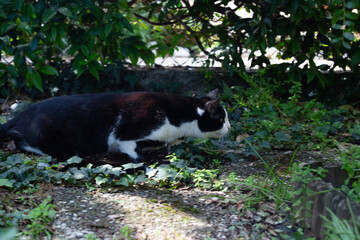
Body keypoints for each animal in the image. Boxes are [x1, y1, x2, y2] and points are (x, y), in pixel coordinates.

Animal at [0, 90, 231, 163]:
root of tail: (21, 114)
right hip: (50, 139)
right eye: (221, 119)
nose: (230, 127)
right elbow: (136, 153)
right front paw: (146, 164)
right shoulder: (126, 135)